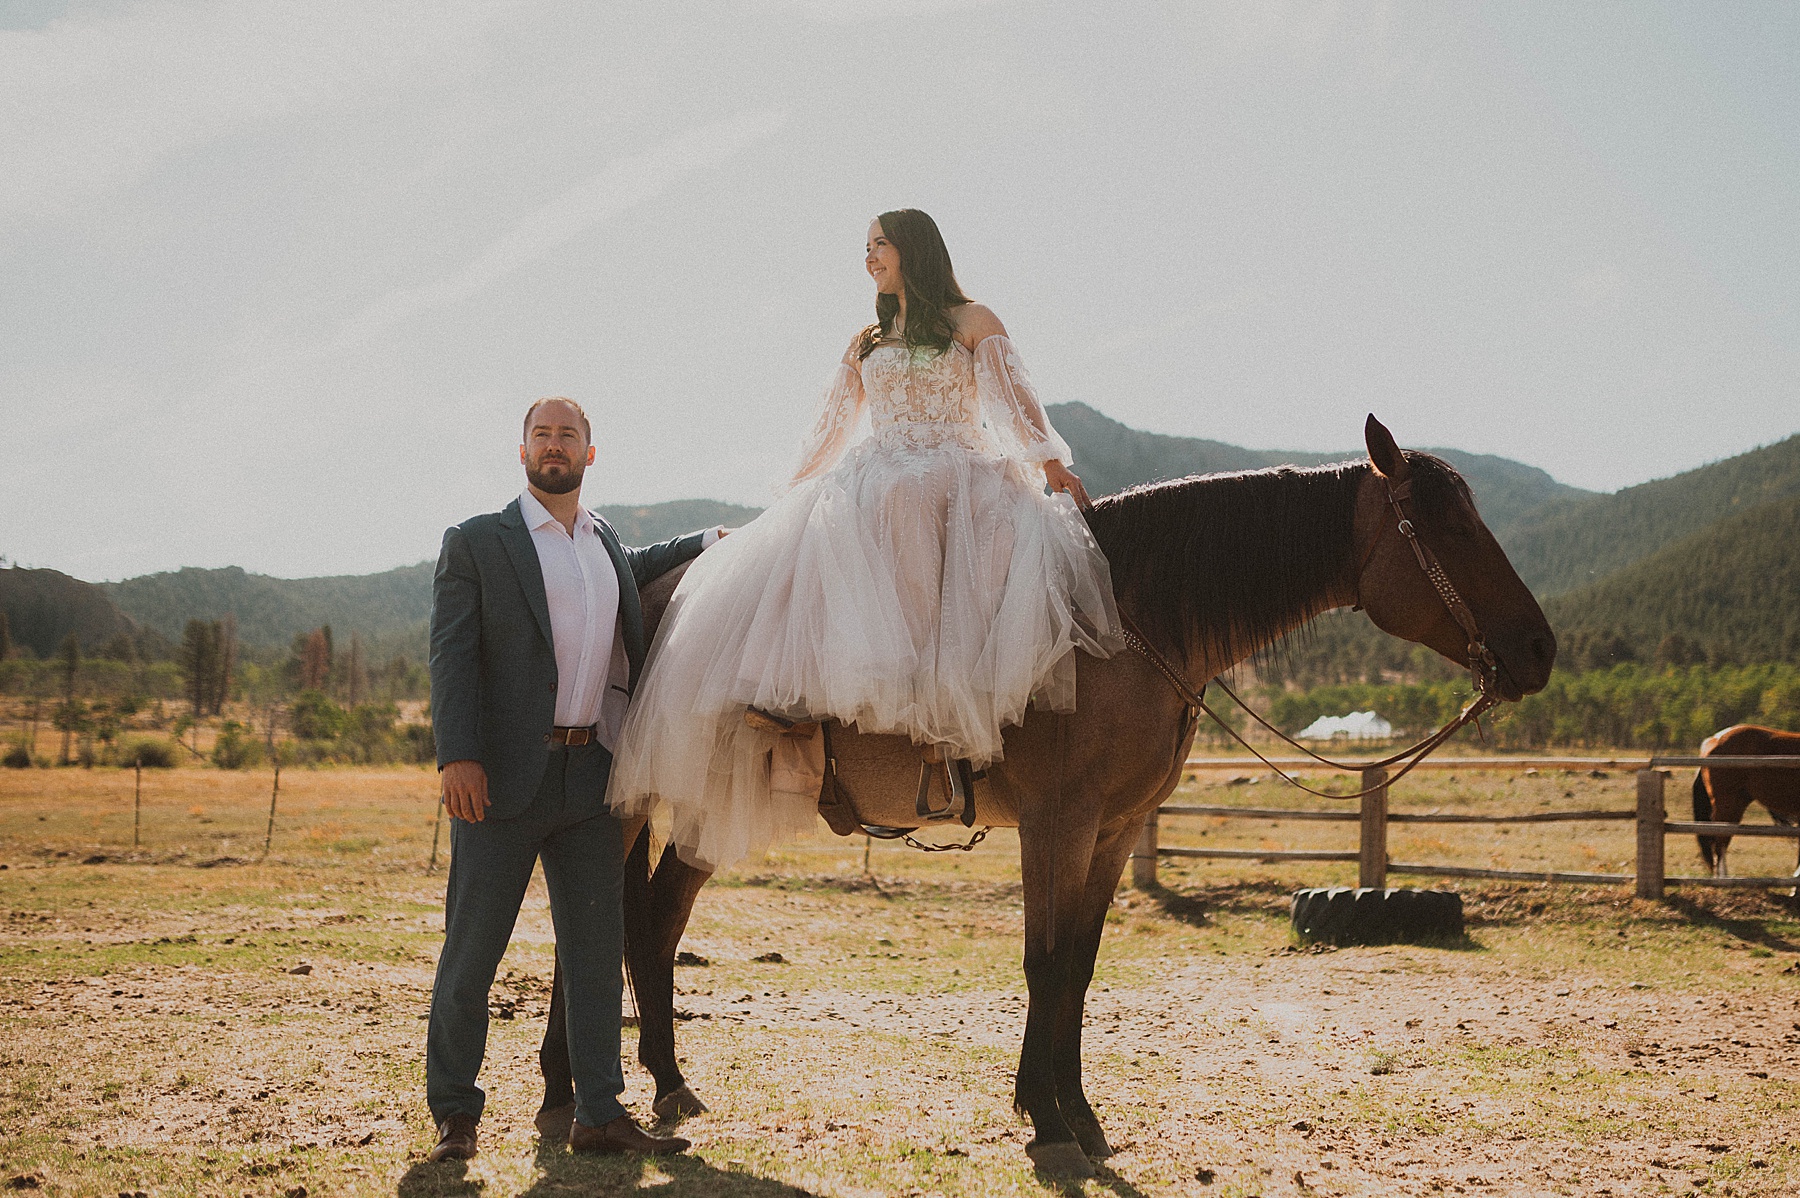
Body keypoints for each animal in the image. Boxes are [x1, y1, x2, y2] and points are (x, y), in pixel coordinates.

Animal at [529, 415, 1548, 1172]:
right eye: (1449, 528)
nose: (1538, 650)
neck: (1121, 618)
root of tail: (646, 580)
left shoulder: (1113, 831)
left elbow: (1080, 967)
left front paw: (1075, 1110)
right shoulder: (1057, 825)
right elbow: (1044, 960)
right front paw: (1051, 1122)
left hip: (706, 800)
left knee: (656, 919)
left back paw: (665, 1081)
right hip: (631, 799)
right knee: (598, 916)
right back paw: (566, 1094)